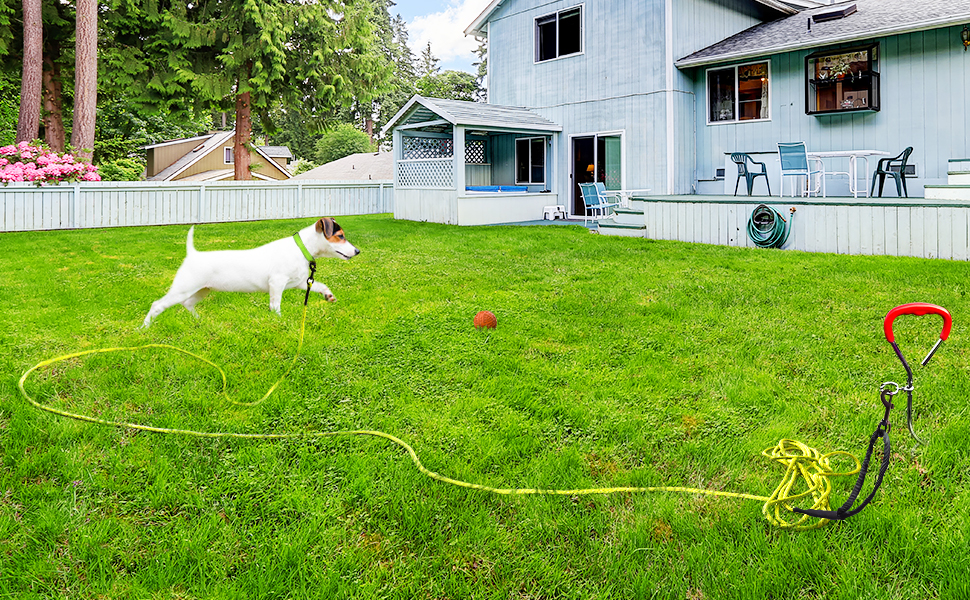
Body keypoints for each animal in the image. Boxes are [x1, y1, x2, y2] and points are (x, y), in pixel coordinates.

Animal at [142, 218, 358, 328]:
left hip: (202, 290)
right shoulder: (277, 284)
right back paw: (143, 329)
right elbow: (275, 306)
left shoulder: (298, 282)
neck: (301, 247)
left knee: (187, 304)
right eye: (340, 236)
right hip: (183, 288)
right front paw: (278, 322)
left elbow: (319, 285)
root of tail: (192, 254)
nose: (357, 251)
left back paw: (201, 322)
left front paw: (328, 295)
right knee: (157, 305)